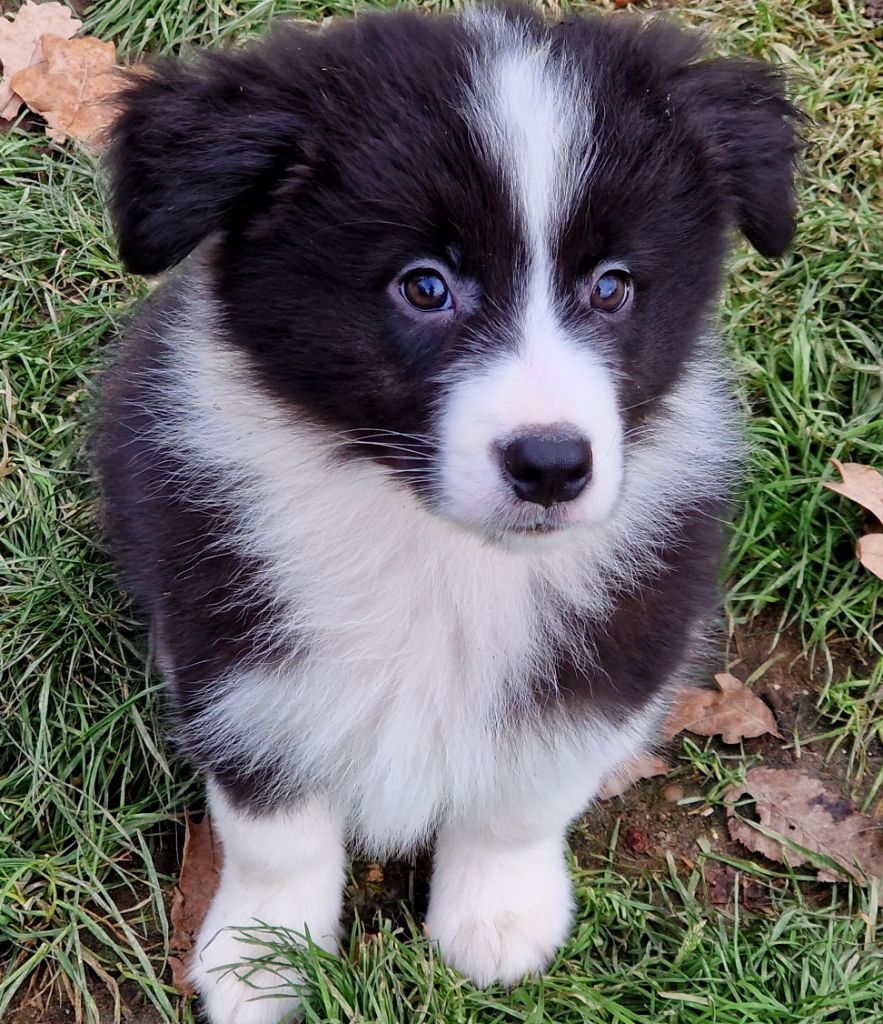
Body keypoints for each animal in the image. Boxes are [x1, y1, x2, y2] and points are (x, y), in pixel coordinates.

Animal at [96, 8, 803, 1024]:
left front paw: (497, 918)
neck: (439, 548)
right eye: (423, 286)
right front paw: (263, 959)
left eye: (613, 287)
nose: (551, 464)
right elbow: (273, 820)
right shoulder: (233, 638)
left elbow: (525, 793)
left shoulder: (618, 640)